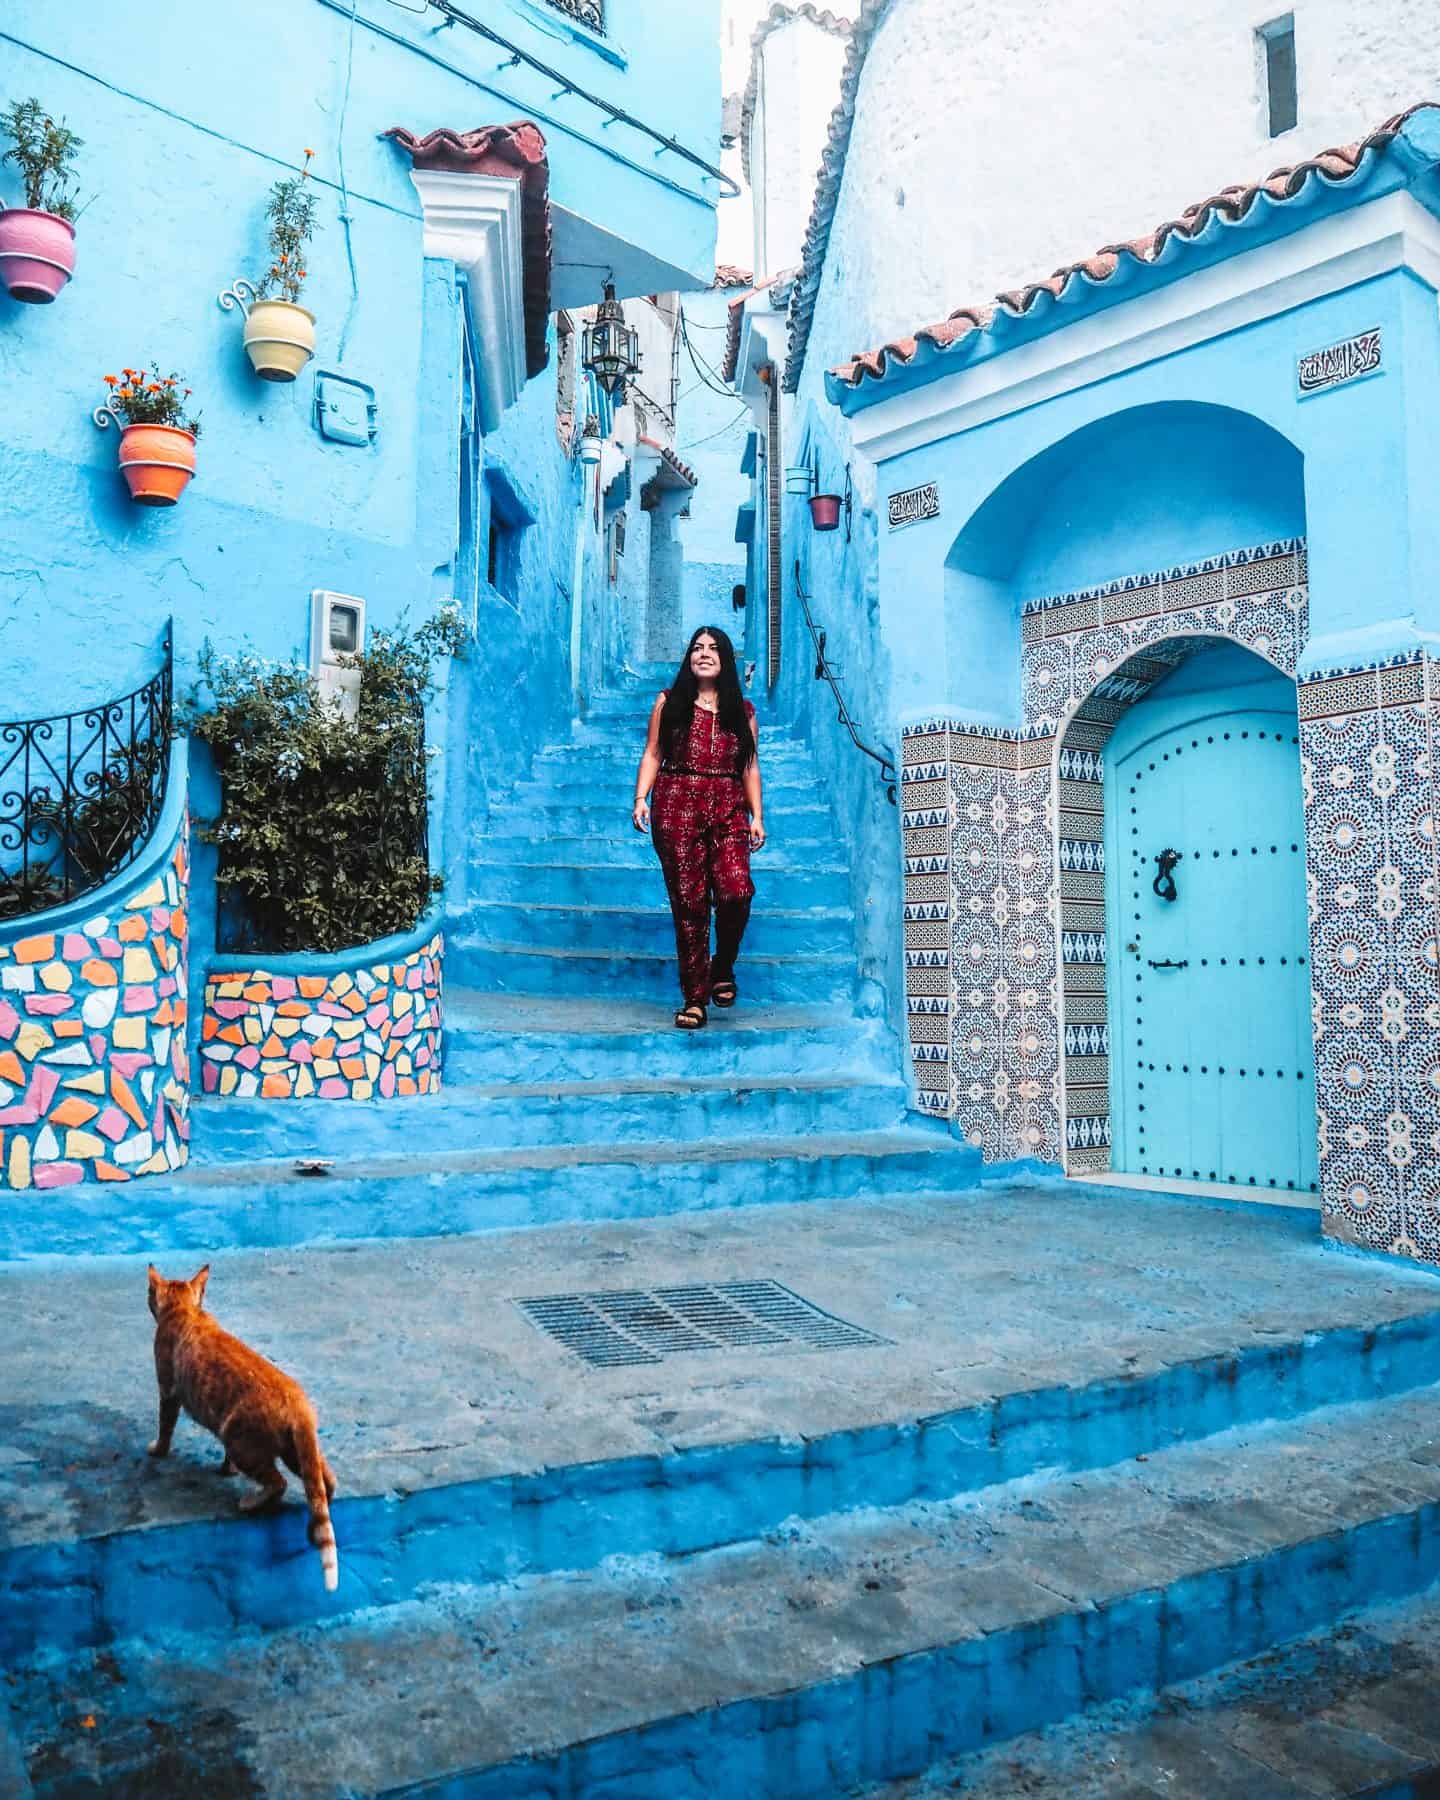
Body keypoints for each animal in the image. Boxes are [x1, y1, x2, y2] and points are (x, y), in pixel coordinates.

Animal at [146, 1267, 340, 1591]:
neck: (185, 1309)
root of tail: (299, 1404)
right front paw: (227, 1470)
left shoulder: (168, 1391)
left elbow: (165, 1426)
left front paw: (158, 1450)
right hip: (296, 1451)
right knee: (325, 1483)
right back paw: (316, 1517)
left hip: (240, 1440)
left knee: (279, 1483)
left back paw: (250, 1503)